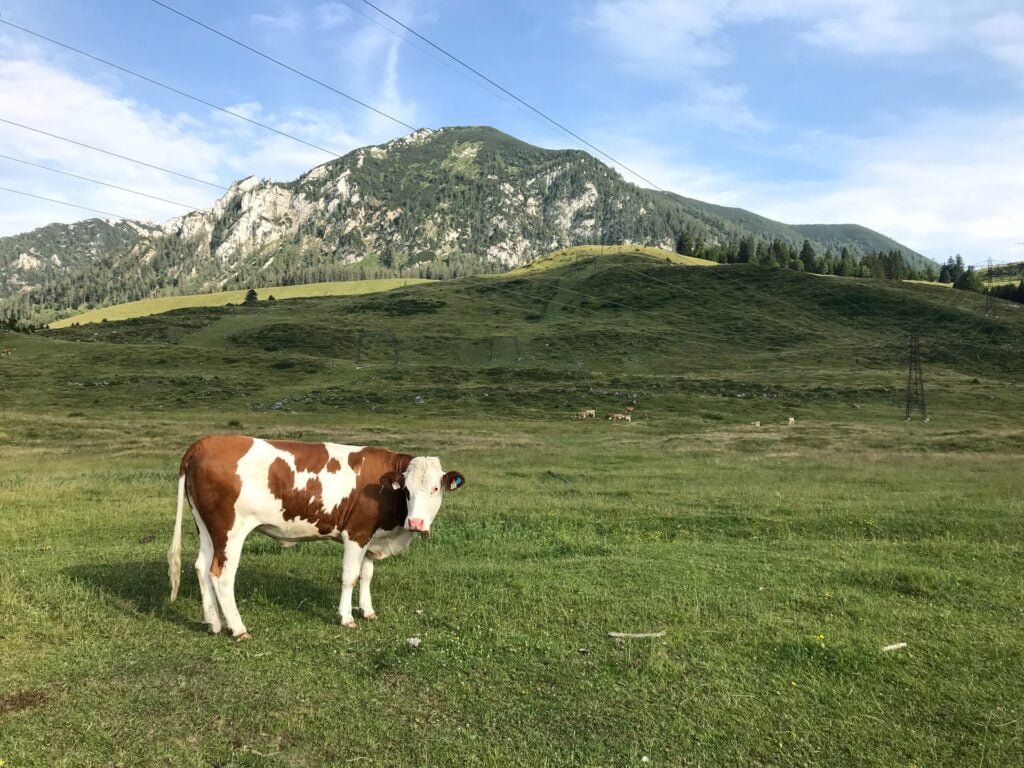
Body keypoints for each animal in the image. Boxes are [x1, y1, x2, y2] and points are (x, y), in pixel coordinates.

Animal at [168, 436, 468, 638]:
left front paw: (367, 610)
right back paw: (238, 628)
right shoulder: (356, 533)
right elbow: (350, 576)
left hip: (208, 528)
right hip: (230, 531)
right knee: (221, 576)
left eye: (436, 488)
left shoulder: (371, 537)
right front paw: (346, 617)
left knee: (201, 568)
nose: (416, 522)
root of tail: (206, 442)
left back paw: (214, 623)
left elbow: (367, 574)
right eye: (406, 489)